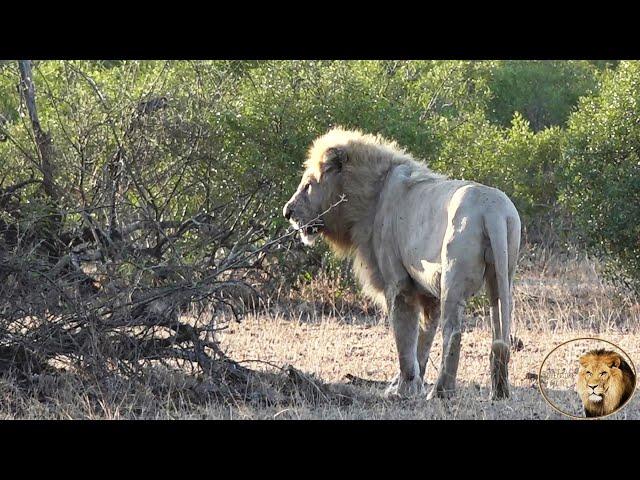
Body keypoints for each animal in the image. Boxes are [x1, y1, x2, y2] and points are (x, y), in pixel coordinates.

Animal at [284, 126, 520, 398]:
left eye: (308, 185)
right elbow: (422, 342)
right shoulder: (428, 292)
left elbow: (404, 338)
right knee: (499, 332)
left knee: (454, 332)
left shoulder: (398, 284)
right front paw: (410, 383)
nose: (287, 212)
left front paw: (402, 389)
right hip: (501, 273)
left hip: (454, 277)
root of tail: (493, 210)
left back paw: (440, 392)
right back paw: (499, 392)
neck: (370, 194)